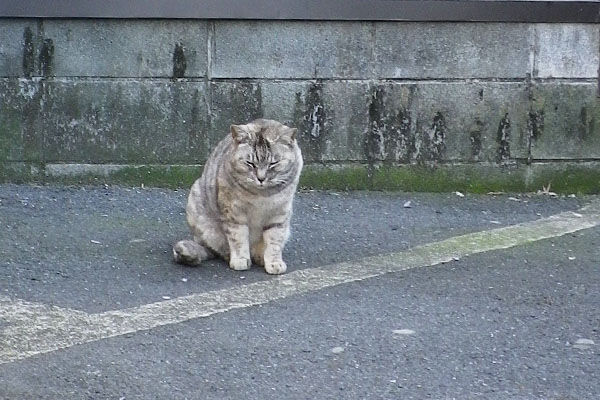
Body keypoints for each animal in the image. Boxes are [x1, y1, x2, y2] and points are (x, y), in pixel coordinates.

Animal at [173, 119, 304, 276]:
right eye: (250, 163)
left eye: (273, 163)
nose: (261, 178)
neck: (261, 195)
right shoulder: (233, 213)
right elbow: (238, 238)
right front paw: (240, 259)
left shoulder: (279, 214)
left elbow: (274, 240)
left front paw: (274, 262)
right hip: (198, 206)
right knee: (219, 249)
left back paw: (260, 256)